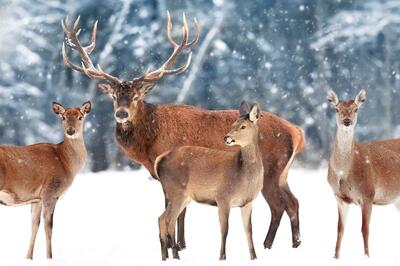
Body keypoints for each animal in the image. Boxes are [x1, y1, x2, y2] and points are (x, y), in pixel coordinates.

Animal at [0, 100, 91, 258]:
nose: (70, 131)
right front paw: (49, 257)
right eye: (63, 117)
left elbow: (34, 226)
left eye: (80, 117)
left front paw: (28, 257)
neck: (66, 163)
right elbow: (49, 228)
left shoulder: (37, 198)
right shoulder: (50, 192)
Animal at [157, 101, 266, 260]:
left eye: (243, 126)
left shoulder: (247, 202)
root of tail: (159, 160)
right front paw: (222, 257)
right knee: (167, 220)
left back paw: (166, 257)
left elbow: (249, 230)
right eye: (232, 124)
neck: (244, 177)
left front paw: (254, 257)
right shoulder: (223, 197)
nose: (226, 138)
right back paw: (175, 256)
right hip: (175, 191)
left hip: (182, 197)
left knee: (162, 219)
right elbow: (225, 229)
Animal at [326, 89, 400, 258]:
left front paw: (367, 257)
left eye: (356, 109)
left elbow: (365, 230)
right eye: (337, 109)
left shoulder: (368, 194)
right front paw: (335, 257)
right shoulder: (339, 197)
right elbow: (340, 230)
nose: (347, 121)